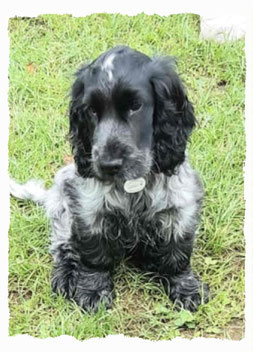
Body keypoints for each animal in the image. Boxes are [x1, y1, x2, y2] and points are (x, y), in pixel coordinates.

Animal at [9, 45, 209, 312]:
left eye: (135, 106)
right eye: (92, 110)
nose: (108, 165)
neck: (133, 185)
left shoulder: (181, 204)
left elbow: (177, 253)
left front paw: (185, 287)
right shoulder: (88, 209)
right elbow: (94, 257)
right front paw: (93, 291)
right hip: (63, 196)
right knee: (63, 245)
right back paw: (66, 275)